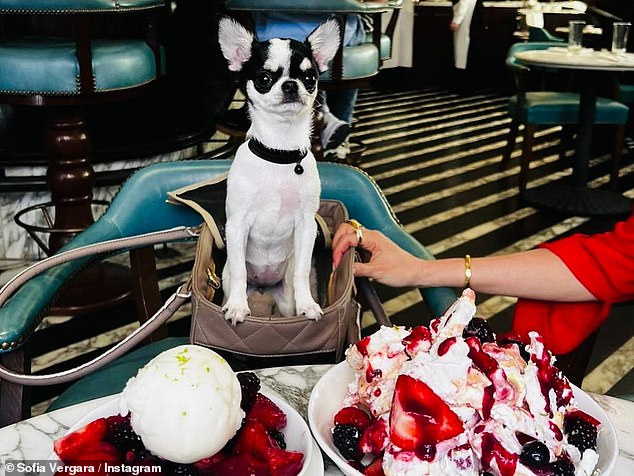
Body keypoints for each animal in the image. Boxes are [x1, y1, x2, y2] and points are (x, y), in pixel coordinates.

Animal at [216, 17, 338, 324]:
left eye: (310, 78)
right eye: (264, 79)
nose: (291, 85)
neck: (279, 154)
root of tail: (263, 287)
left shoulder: (306, 226)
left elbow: (303, 270)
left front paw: (309, 304)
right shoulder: (237, 225)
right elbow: (239, 268)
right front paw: (237, 306)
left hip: (284, 299)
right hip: (227, 281)